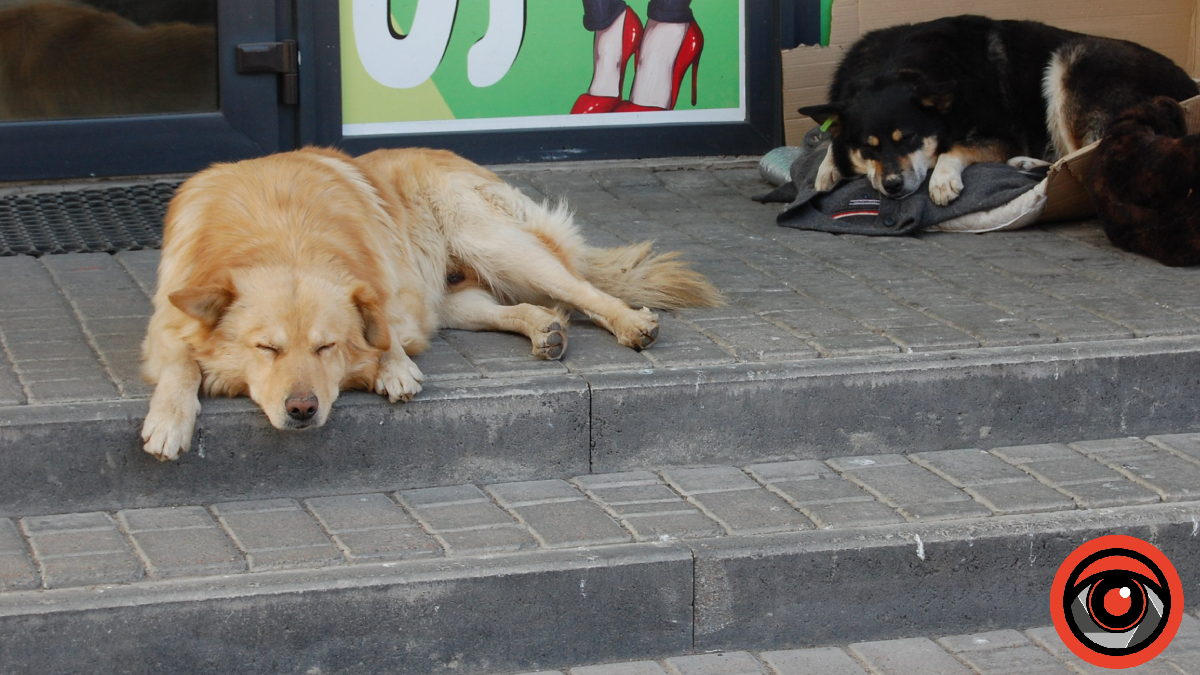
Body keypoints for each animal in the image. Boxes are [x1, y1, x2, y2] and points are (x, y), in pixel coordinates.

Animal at [140, 145, 720, 456]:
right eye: (267, 349)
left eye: (327, 347)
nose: (302, 409)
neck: (281, 236)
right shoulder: (165, 326)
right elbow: (180, 364)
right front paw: (168, 420)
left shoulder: (395, 298)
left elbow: (383, 333)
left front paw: (394, 369)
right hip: (455, 298)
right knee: (524, 308)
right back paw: (544, 329)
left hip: (494, 243)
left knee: (581, 289)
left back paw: (631, 325)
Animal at [796, 15, 1200, 204]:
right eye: (868, 147)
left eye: (908, 138)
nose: (893, 186)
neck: (895, 65)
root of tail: (1190, 87)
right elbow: (833, 145)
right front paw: (827, 169)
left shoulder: (1002, 135)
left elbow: (955, 148)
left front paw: (943, 179)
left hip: (1072, 61)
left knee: (1086, 156)